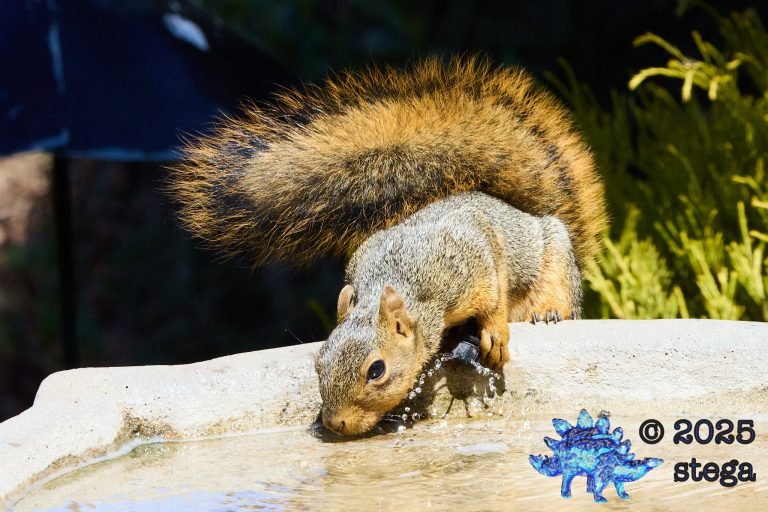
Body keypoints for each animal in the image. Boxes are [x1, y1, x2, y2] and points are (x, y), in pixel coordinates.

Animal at [169, 56, 606, 437]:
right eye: (319, 363)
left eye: (376, 370)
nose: (335, 424)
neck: (399, 278)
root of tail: (521, 210)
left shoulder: (471, 259)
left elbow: (493, 298)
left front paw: (495, 336)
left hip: (554, 259)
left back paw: (547, 311)